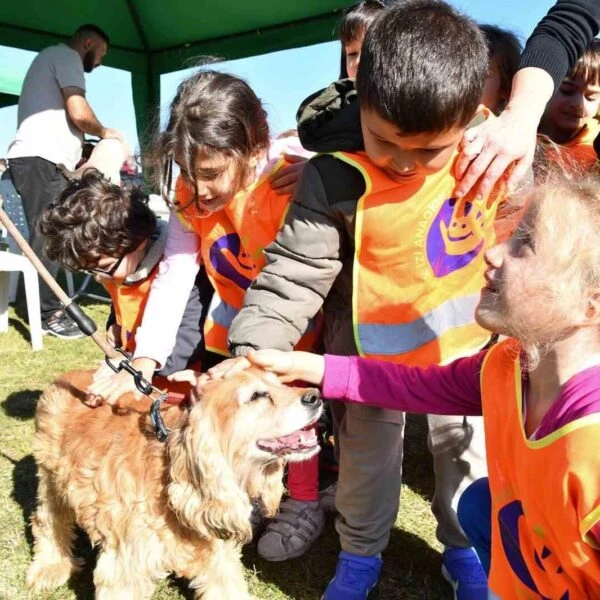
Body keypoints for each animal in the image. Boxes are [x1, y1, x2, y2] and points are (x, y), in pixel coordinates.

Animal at [27, 368, 324, 596]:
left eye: (280, 382)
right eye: (256, 396)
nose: (316, 396)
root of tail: (67, 376)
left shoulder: (220, 555)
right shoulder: (124, 566)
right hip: (51, 481)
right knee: (47, 521)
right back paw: (50, 567)